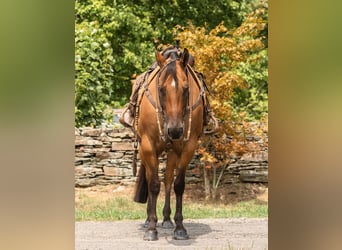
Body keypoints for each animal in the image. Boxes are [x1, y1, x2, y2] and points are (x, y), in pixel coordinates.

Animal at [134, 47, 204, 241]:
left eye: (186, 88)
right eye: (161, 89)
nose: (174, 130)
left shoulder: (188, 147)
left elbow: (178, 185)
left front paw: (180, 228)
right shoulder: (148, 146)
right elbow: (153, 185)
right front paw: (151, 228)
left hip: (172, 151)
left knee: (167, 179)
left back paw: (166, 218)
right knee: (151, 178)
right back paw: (149, 219)